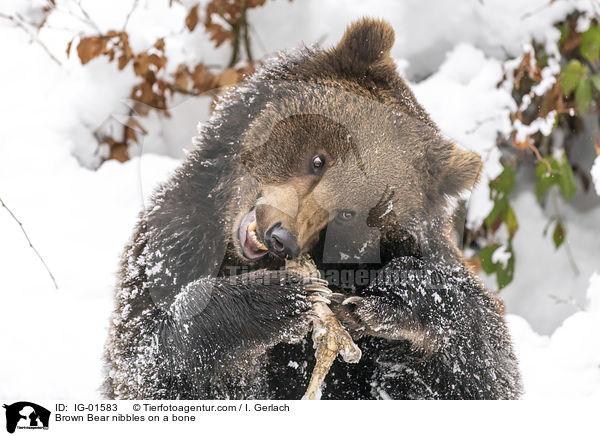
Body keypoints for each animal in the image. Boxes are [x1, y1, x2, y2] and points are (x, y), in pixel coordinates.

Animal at [102, 17, 520, 398]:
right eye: (319, 159)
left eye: (351, 213)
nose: (282, 237)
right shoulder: (174, 241)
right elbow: (149, 357)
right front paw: (277, 297)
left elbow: (482, 371)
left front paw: (395, 291)